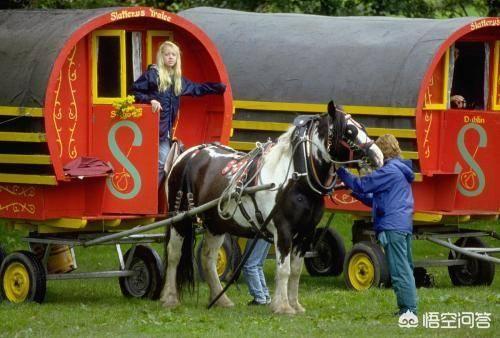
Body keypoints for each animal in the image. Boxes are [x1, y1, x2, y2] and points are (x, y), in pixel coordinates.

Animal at [160, 101, 382, 314]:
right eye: (349, 131)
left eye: (362, 127)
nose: (378, 156)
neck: (296, 178)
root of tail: (187, 155)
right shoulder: (283, 231)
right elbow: (283, 270)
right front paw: (282, 306)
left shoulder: (306, 233)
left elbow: (295, 271)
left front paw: (295, 305)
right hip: (180, 220)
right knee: (174, 255)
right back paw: (170, 298)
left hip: (216, 224)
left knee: (208, 258)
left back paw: (221, 299)